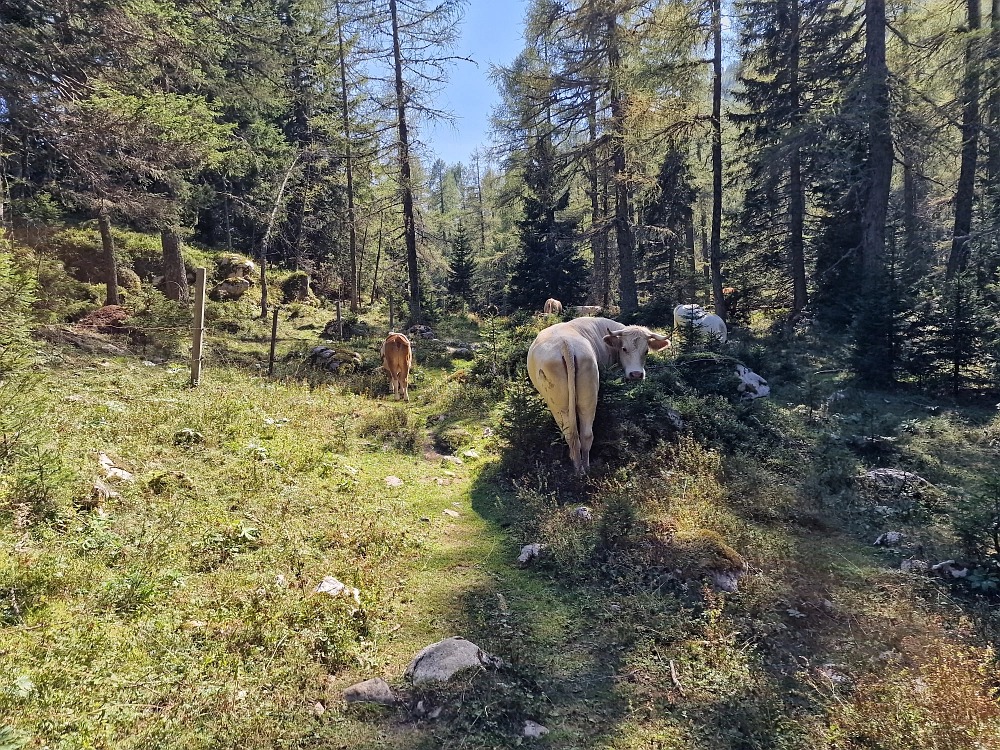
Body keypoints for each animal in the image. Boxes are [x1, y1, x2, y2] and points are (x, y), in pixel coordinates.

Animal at [524, 318, 672, 476]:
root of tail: (566, 344)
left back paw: (579, 468)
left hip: (562, 405)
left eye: (646, 351)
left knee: (574, 435)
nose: (636, 374)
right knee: (585, 434)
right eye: (624, 349)